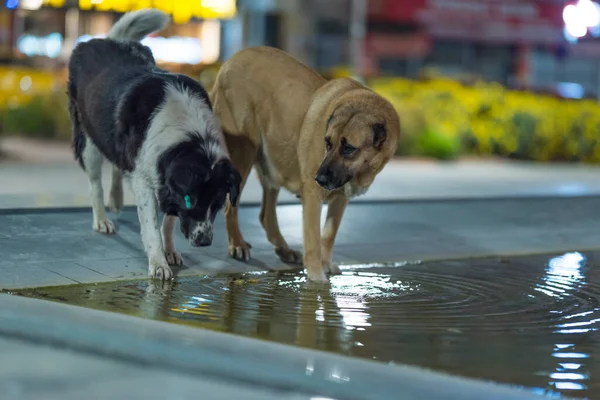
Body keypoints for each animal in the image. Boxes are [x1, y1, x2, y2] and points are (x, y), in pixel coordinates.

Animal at [67, 7, 240, 280]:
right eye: (192, 200)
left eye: (218, 203)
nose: (204, 241)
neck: (190, 135)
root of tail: (110, 40)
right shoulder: (148, 180)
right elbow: (151, 227)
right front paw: (159, 263)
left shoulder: (164, 177)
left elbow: (168, 222)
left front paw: (169, 252)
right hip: (88, 139)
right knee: (95, 183)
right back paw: (101, 219)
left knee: (118, 164)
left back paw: (116, 199)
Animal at [209, 46, 400, 282]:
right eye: (327, 143)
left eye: (348, 148)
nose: (319, 178)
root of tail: (230, 61)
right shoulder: (312, 195)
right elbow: (313, 239)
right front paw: (317, 278)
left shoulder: (340, 200)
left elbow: (328, 235)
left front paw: (326, 264)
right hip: (244, 153)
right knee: (230, 206)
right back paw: (237, 243)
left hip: (273, 162)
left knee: (266, 215)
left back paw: (284, 249)